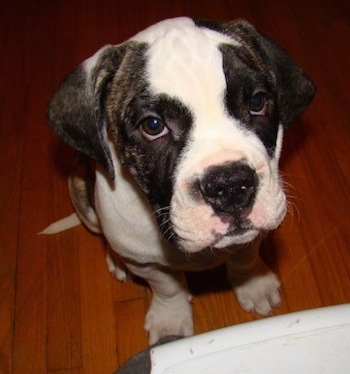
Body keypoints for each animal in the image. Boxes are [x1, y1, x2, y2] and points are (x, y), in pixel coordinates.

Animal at [44, 18, 318, 344]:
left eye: (257, 101)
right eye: (152, 125)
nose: (230, 185)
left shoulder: (257, 230)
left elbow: (245, 257)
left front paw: (254, 285)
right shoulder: (146, 263)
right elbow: (167, 287)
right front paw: (171, 320)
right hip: (82, 195)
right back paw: (115, 260)